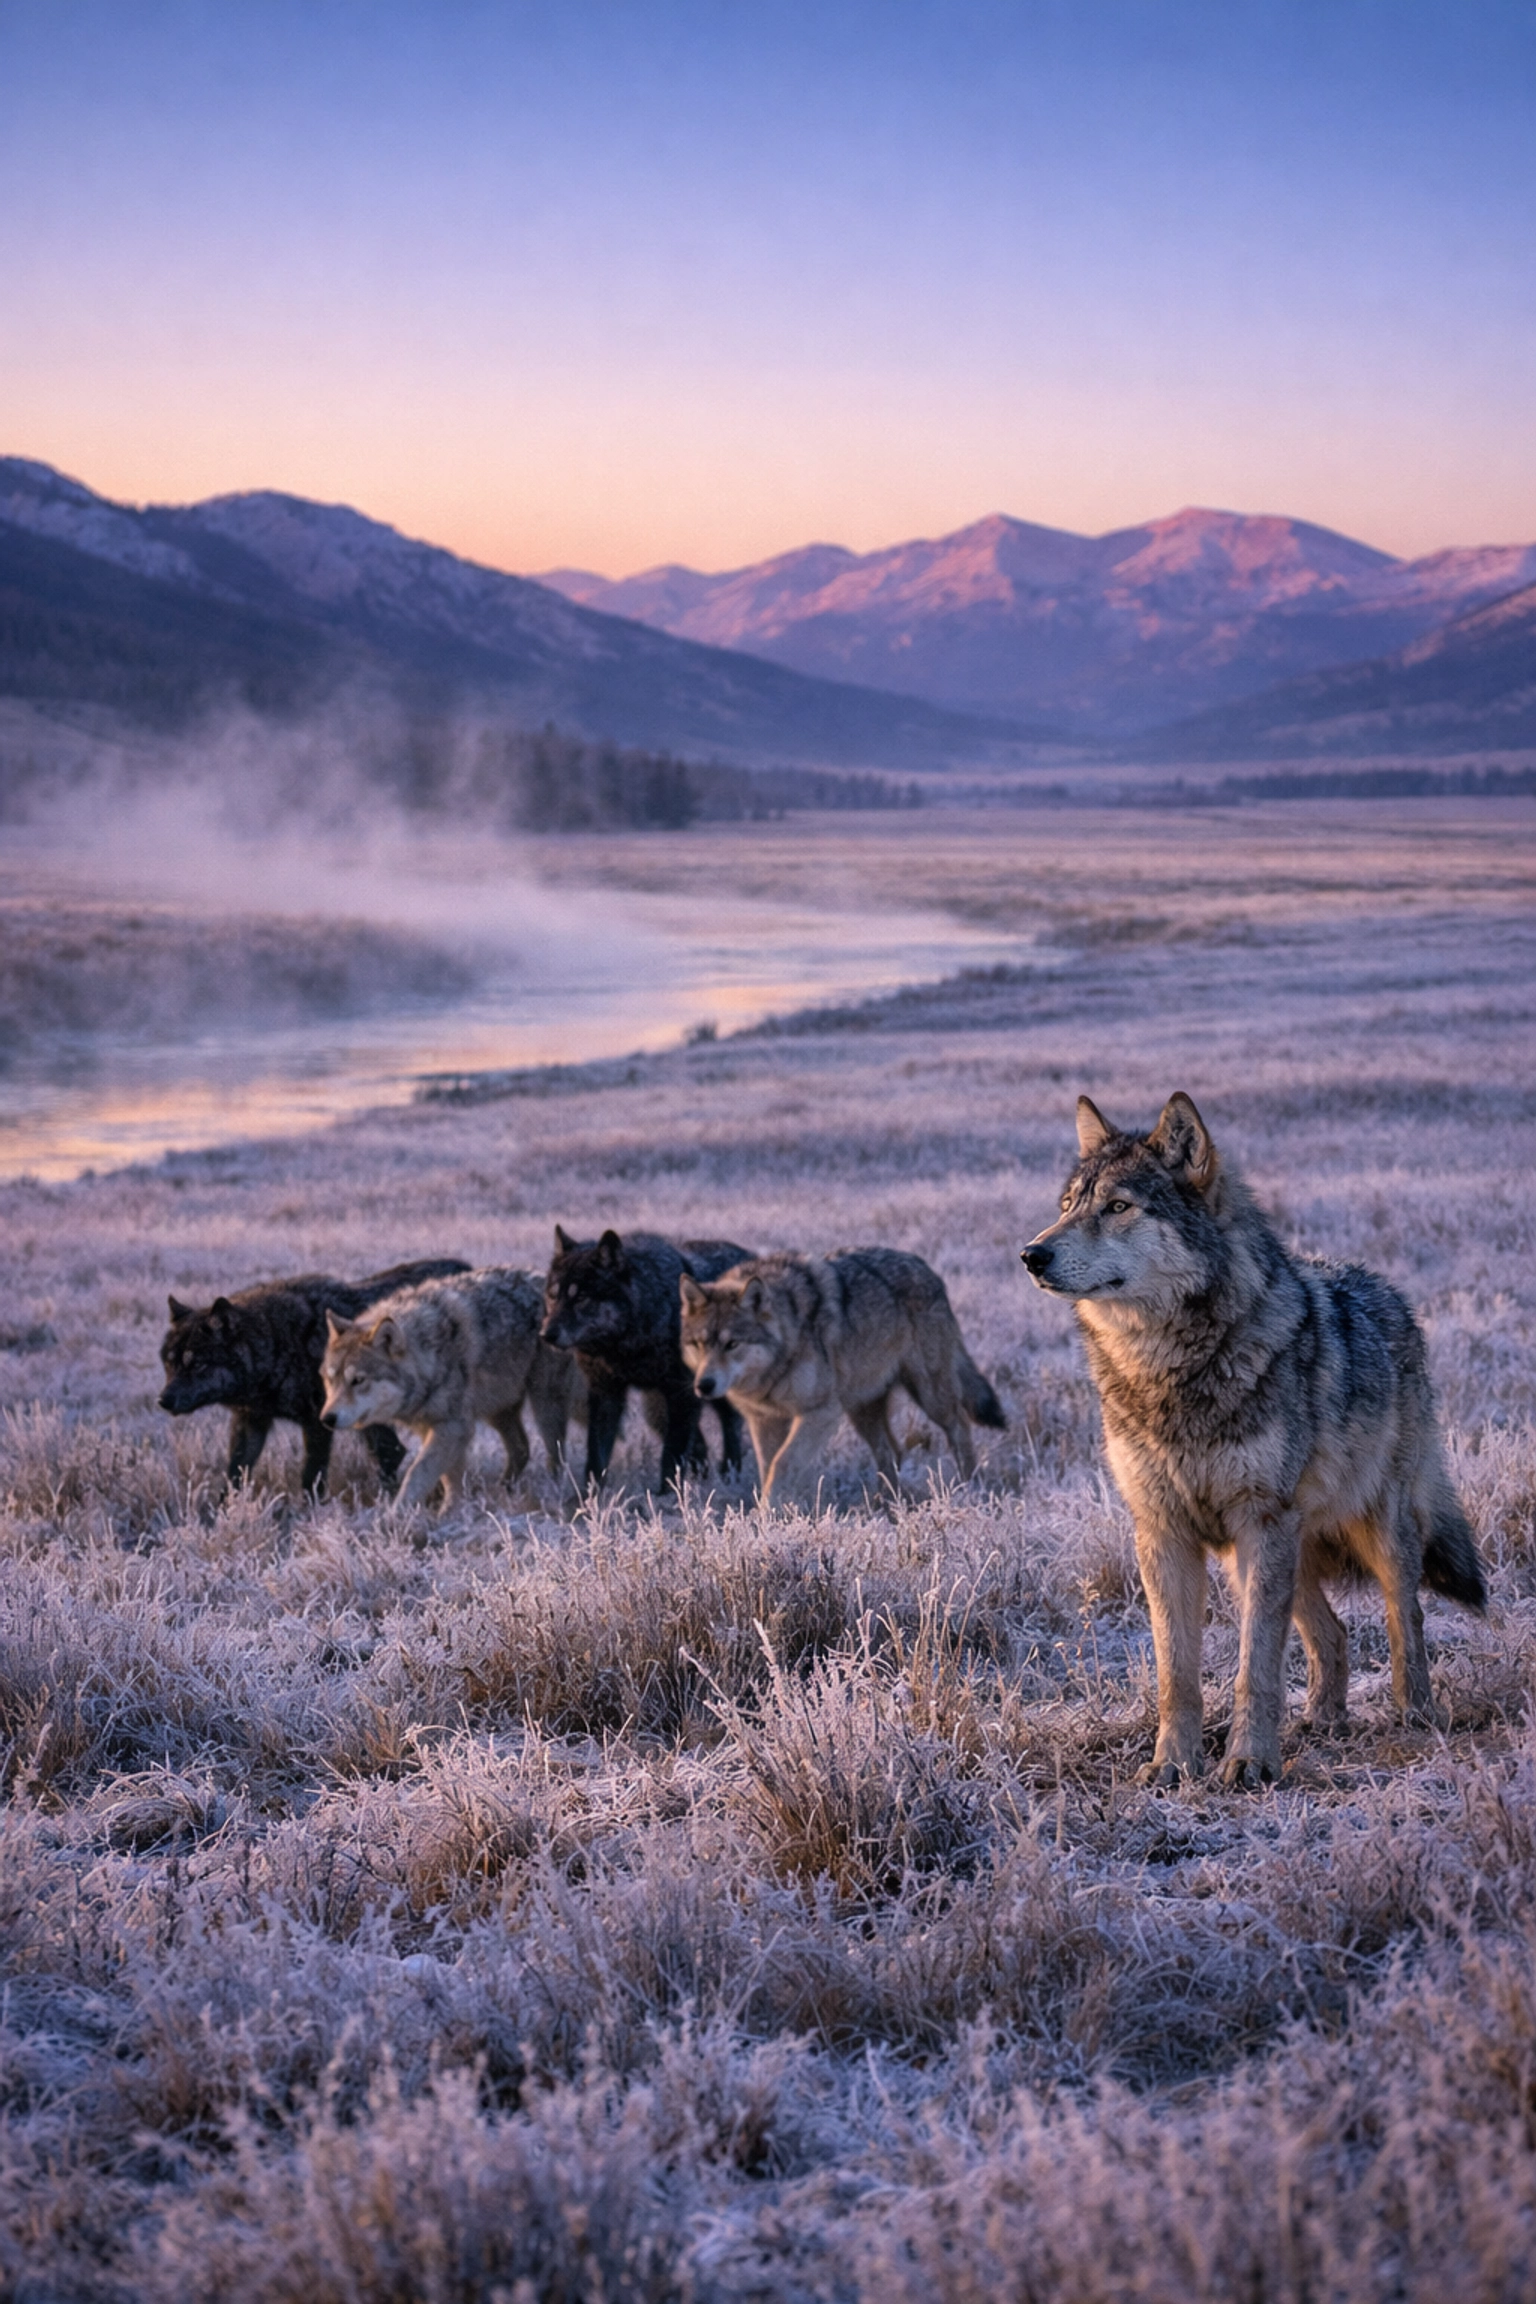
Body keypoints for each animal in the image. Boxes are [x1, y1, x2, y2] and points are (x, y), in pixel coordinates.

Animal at [158, 1259, 469, 1498]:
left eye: (196, 1364)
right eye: (169, 1363)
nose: (163, 1400)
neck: (277, 1343)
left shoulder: (317, 1423)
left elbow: (311, 1476)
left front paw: (308, 1517)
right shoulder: (251, 1421)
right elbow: (234, 1474)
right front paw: (220, 1517)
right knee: (393, 1452)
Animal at [319, 1267, 582, 1511]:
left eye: (357, 1380)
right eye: (330, 1380)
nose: (327, 1419)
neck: (429, 1352)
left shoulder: (454, 1426)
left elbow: (418, 1472)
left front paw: (395, 1516)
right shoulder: (438, 1428)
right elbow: (450, 1478)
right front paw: (452, 1510)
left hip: (544, 1406)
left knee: (556, 1457)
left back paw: (552, 1492)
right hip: (498, 1411)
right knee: (522, 1448)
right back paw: (503, 1492)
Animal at [540, 1228, 752, 1490]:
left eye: (580, 1298)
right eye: (553, 1296)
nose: (546, 1334)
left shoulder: (681, 1394)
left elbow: (672, 1453)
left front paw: (667, 1494)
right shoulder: (606, 1394)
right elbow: (596, 1453)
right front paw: (589, 1495)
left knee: (731, 1424)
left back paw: (729, 1475)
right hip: (656, 1408)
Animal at [679, 1247, 1006, 1509]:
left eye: (732, 1344)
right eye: (699, 1344)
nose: (703, 1385)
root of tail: (926, 1268)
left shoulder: (820, 1412)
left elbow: (783, 1463)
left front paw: (768, 1515)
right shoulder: (764, 1420)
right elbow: (768, 1467)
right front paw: (780, 1515)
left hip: (930, 1396)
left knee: (959, 1426)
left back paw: (969, 1490)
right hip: (861, 1411)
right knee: (891, 1450)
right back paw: (886, 1505)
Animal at [1021, 1093, 1486, 1789]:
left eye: (1119, 1207)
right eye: (1068, 1205)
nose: (1031, 1255)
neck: (1166, 1371)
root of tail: (1392, 1295)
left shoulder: (1260, 1520)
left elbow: (1256, 1667)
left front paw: (1250, 1763)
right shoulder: (1163, 1532)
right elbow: (1177, 1674)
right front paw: (1172, 1765)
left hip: (1372, 1531)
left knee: (1406, 1616)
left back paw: (1416, 1714)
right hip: (1256, 1559)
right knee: (1334, 1633)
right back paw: (1323, 1719)